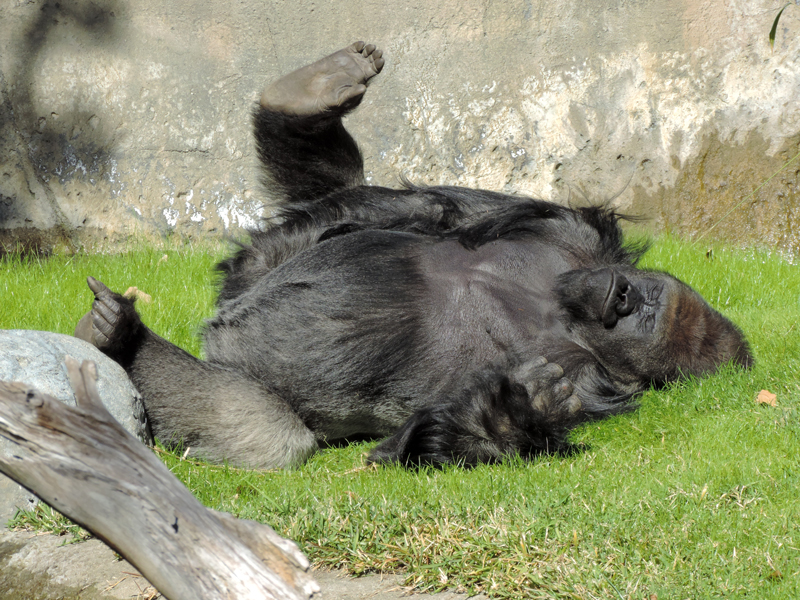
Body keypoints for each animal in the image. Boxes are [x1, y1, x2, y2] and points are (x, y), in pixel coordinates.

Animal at [76, 42, 752, 469]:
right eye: (635, 296)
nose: (618, 296)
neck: (562, 310)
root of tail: (221, 328)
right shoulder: (575, 234)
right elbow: (449, 210)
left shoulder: (589, 376)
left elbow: (468, 431)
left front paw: (519, 411)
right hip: (263, 268)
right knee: (320, 221)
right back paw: (312, 98)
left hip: (251, 378)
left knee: (261, 429)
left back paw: (124, 342)